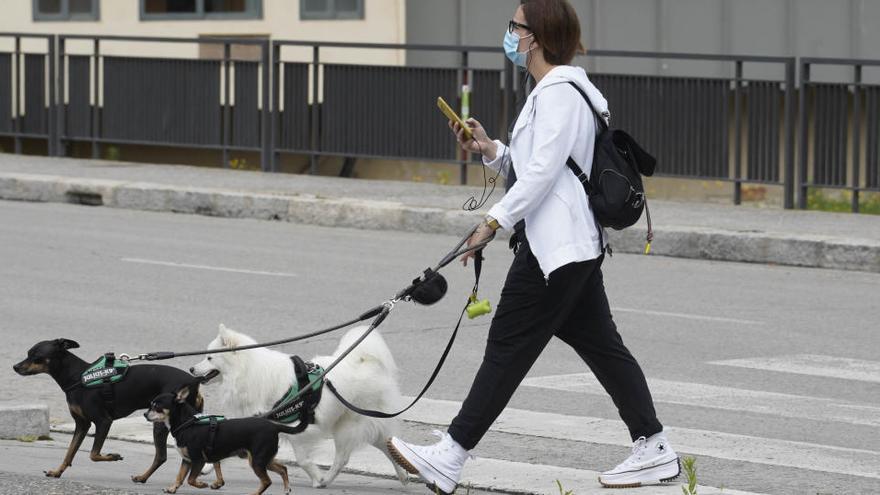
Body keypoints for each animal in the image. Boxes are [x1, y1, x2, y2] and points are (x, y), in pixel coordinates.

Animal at [12, 338, 205, 484]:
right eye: (28, 353)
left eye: (37, 357)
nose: (15, 367)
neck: (77, 377)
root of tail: (194, 382)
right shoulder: (82, 424)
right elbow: (70, 452)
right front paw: (57, 471)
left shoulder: (103, 421)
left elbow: (93, 454)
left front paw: (113, 456)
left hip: (161, 423)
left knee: (161, 456)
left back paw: (142, 477)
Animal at [146, 388, 294, 495]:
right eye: (151, 405)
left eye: (156, 406)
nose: (145, 414)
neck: (187, 424)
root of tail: (274, 426)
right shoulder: (187, 460)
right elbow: (180, 476)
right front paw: (172, 488)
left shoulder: (198, 460)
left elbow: (190, 479)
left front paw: (201, 485)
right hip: (264, 460)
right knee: (283, 469)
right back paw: (286, 489)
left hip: (257, 461)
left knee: (267, 481)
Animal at [189, 324, 410, 490]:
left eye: (209, 357)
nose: (191, 368)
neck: (247, 371)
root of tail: (367, 362)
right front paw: (207, 468)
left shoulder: (296, 427)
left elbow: (303, 459)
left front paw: (317, 478)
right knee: (386, 443)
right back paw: (403, 476)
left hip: (349, 426)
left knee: (343, 458)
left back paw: (326, 480)